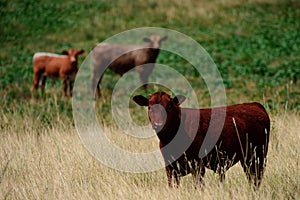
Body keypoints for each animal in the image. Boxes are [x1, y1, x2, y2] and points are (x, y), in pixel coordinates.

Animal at [132, 92, 270, 189]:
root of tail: (254, 104)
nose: (158, 124)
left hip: (257, 156)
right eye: (150, 107)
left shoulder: (198, 166)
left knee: (256, 179)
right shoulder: (170, 168)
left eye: (169, 105)